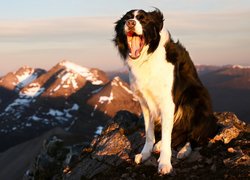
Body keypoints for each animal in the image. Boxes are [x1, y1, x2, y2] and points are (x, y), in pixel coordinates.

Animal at [113, 8, 219, 174]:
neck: (147, 58)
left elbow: (168, 134)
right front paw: (145, 153)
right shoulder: (145, 102)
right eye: (126, 19)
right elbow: (149, 133)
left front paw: (164, 163)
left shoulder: (168, 102)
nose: (130, 23)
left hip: (195, 100)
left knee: (194, 136)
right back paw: (159, 144)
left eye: (142, 19)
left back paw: (184, 150)